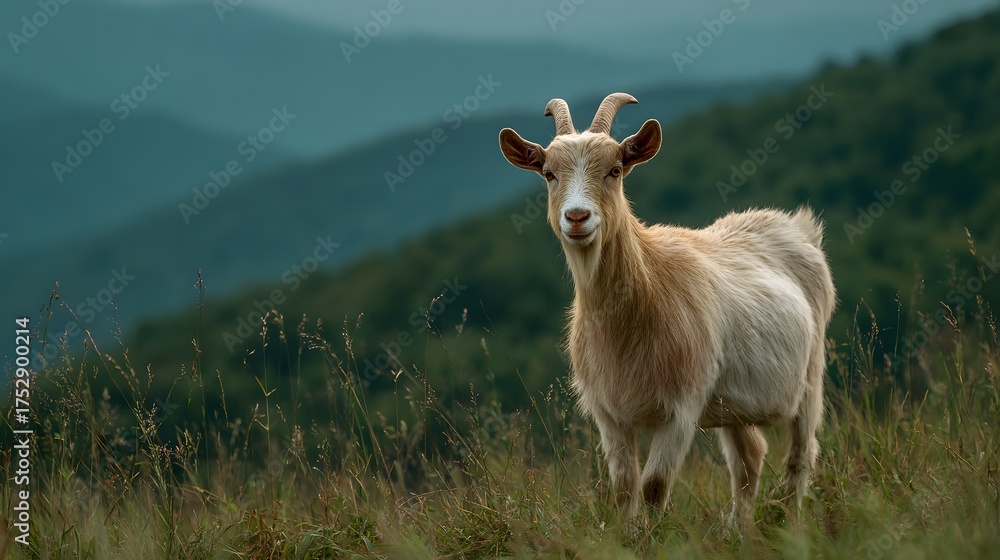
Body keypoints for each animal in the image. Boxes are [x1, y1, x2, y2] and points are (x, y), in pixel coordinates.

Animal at [498, 93, 835, 522]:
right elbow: (624, 488)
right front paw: (626, 533)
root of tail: (798, 227)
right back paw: (737, 528)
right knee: (749, 459)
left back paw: (791, 524)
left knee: (801, 455)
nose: (577, 217)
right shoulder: (609, 413)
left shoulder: (680, 409)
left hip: (810, 376)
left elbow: (653, 487)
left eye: (615, 170)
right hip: (731, 404)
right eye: (548, 173)